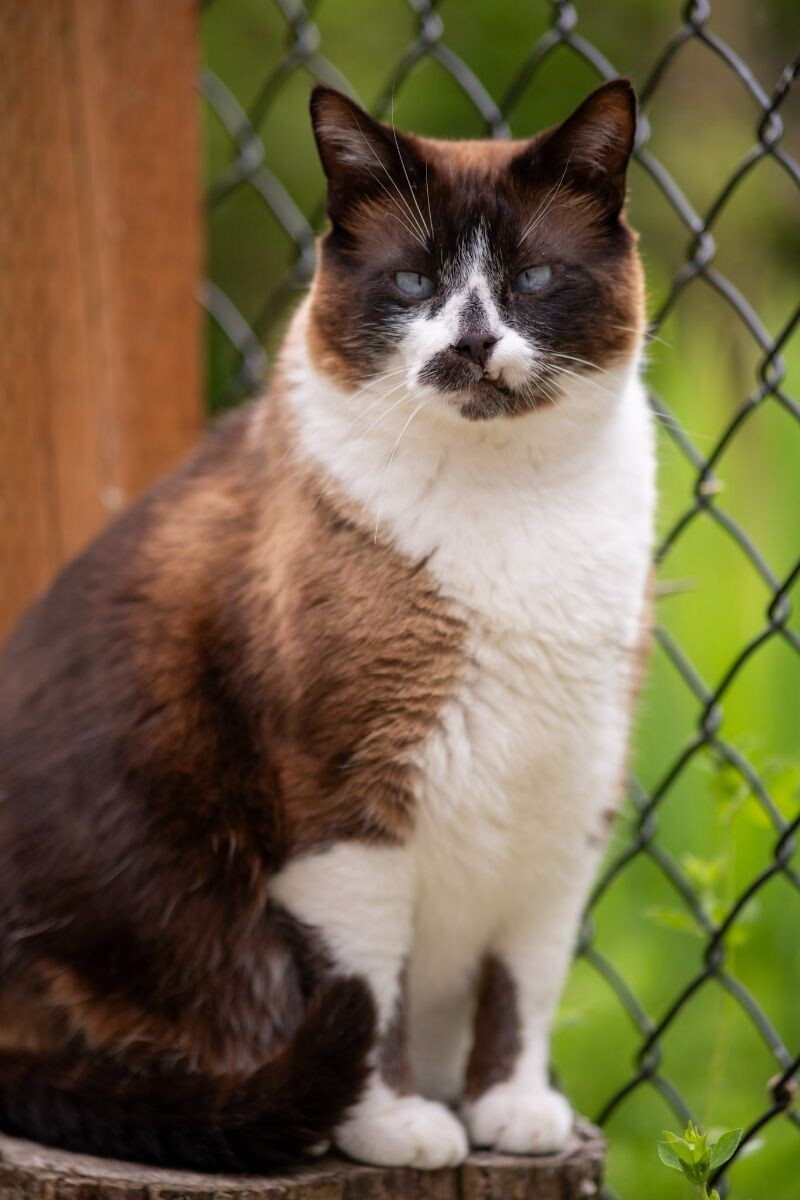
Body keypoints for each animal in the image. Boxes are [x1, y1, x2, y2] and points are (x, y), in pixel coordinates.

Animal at [0, 82, 657, 1171]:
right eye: (412, 282)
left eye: (531, 278)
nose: (469, 344)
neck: (511, 504)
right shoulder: (346, 807)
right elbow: (370, 988)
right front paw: (396, 1127)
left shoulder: (566, 806)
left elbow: (524, 981)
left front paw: (512, 1112)